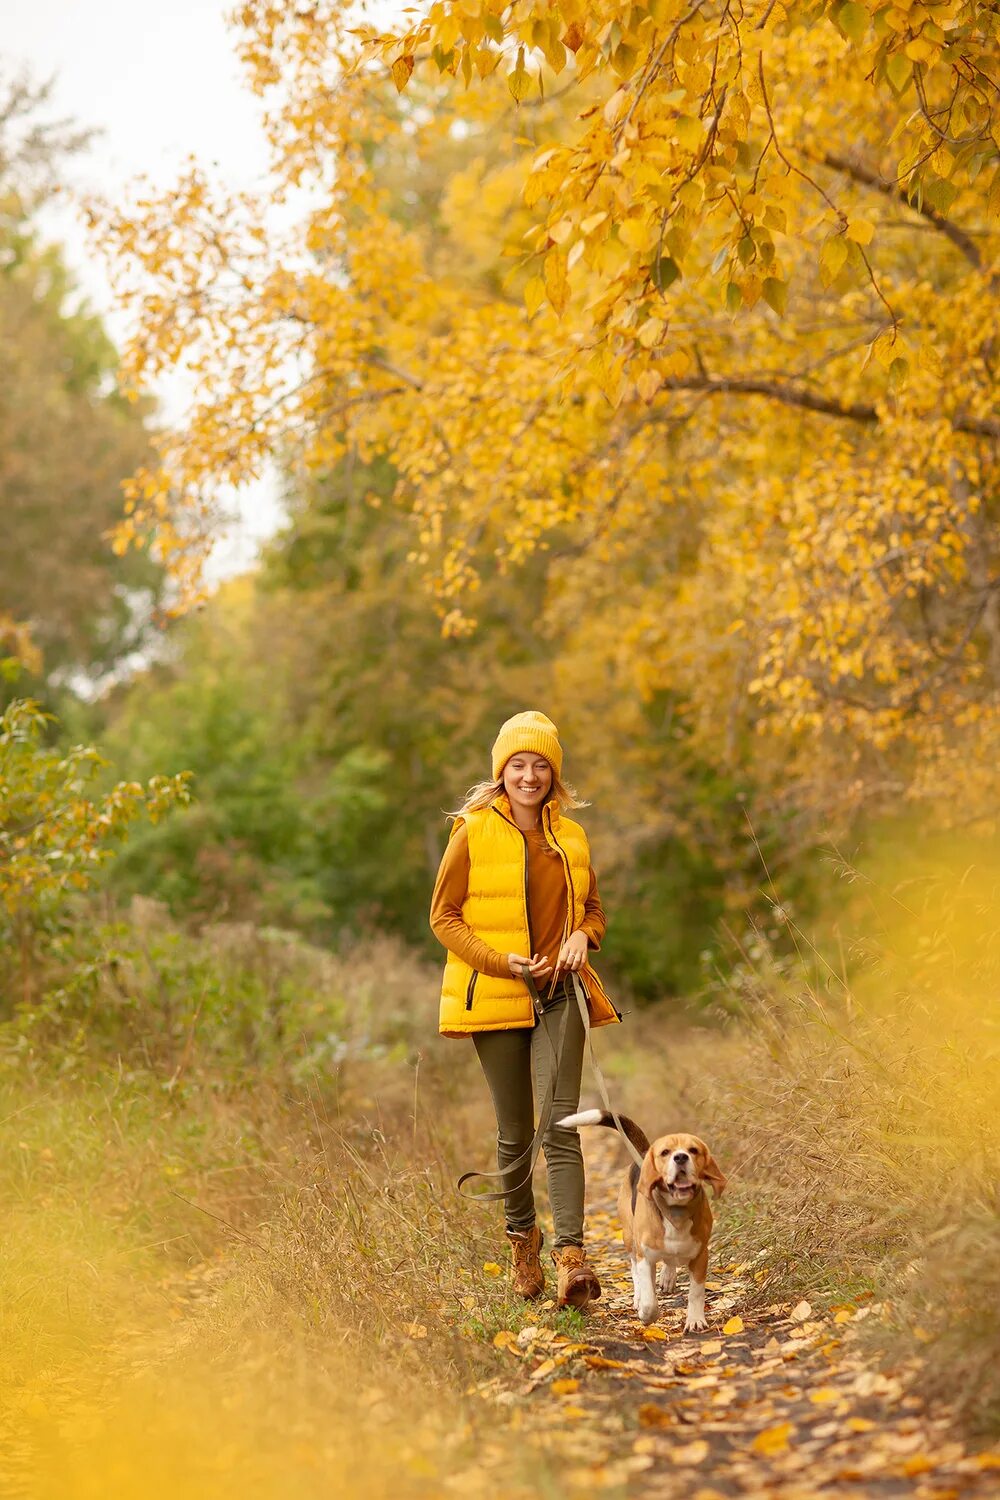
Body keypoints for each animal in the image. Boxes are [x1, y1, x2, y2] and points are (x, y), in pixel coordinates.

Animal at [554, 1110, 728, 1332]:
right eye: (665, 1152)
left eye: (693, 1150)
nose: (681, 1157)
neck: (676, 1212)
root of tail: (645, 1153)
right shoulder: (645, 1257)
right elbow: (649, 1298)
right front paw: (646, 1313)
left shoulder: (700, 1255)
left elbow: (696, 1292)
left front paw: (695, 1320)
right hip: (630, 1238)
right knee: (635, 1270)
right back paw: (639, 1296)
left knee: (668, 1262)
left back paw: (667, 1277)